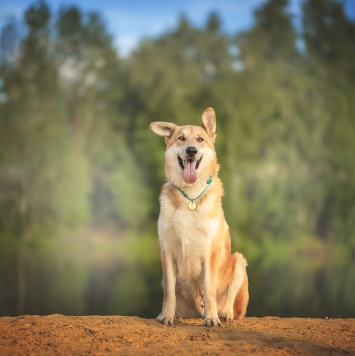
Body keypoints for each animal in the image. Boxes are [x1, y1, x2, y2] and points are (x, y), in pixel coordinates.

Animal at [151, 107, 250, 326]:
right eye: (181, 138)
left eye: (200, 139)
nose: (191, 151)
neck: (190, 196)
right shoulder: (167, 251)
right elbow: (169, 292)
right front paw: (167, 315)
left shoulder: (210, 251)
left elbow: (208, 289)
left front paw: (211, 318)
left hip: (239, 262)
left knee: (230, 299)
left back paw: (224, 313)